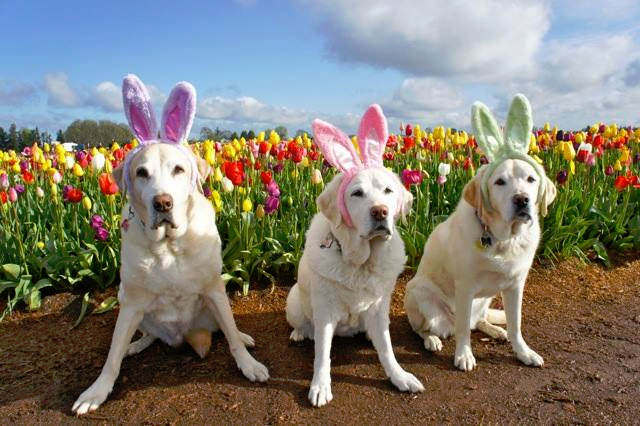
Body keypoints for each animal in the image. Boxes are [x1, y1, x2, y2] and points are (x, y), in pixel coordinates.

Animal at [72, 75, 268, 414]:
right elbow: (112, 355)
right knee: (142, 336)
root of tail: (183, 337)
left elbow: (230, 334)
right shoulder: (132, 302)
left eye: (179, 169)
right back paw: (136, 344)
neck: (169, 247)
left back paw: (243, 337)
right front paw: (97, 391)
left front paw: (248, 364)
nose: (162, 202)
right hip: (128, 302)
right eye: (141, 173)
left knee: (226, 327)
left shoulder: (214, 289)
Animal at [286, 105, 424, 408]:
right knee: (305, 326)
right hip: (294, 300)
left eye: (388, 191)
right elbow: (322, 355)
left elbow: (387, 348)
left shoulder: (379, 306)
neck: (361, 263)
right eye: (357, 193)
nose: (380, 212)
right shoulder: (325, 312)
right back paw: (300, 332)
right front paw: (320, 386)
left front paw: (399, 376)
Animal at [404, 95, 556, 372]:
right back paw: (432, 340)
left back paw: (495, 330)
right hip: (419, 293)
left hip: (486, 299)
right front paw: (464, 355)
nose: (522, 200)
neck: (504, 238)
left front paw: (523, 352)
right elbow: (463, 330)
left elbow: (516, 324)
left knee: (478, 322)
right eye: (500, 182)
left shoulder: (516, 285)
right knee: (426, 328)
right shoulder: (465, 287)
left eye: (531, 179)